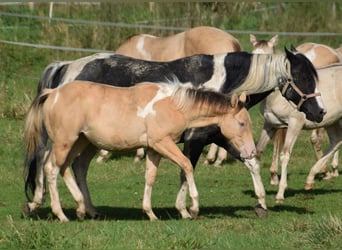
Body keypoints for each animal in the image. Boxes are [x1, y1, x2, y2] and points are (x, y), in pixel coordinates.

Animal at [22, 80, 255, 221]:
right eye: (242, 123)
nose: (252, 152)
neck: (173, 105)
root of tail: (53, 93)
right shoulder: (163, 143)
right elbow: (187, 166)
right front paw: (193, 209)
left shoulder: (154, 149)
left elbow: (150, 177)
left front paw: (150, 213)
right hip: (64, 142)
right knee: (51, 169)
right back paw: (61, 214)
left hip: (79, 142)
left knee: (66, 168)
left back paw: (81, 209)